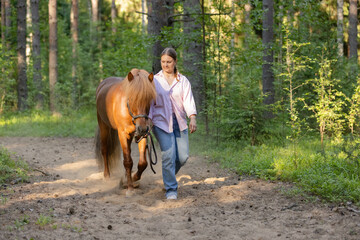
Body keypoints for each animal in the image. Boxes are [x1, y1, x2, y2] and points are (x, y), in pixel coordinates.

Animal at [95, 68, 157, 196]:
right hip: (104, 126)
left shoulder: (142, 135)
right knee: (104, 150)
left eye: (149, 99)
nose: (142, 128)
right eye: (132, 98)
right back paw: (106, 176)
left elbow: (142, 163)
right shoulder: (123, 134)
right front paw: (129, 188)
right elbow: (128, 161)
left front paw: (133, 179)